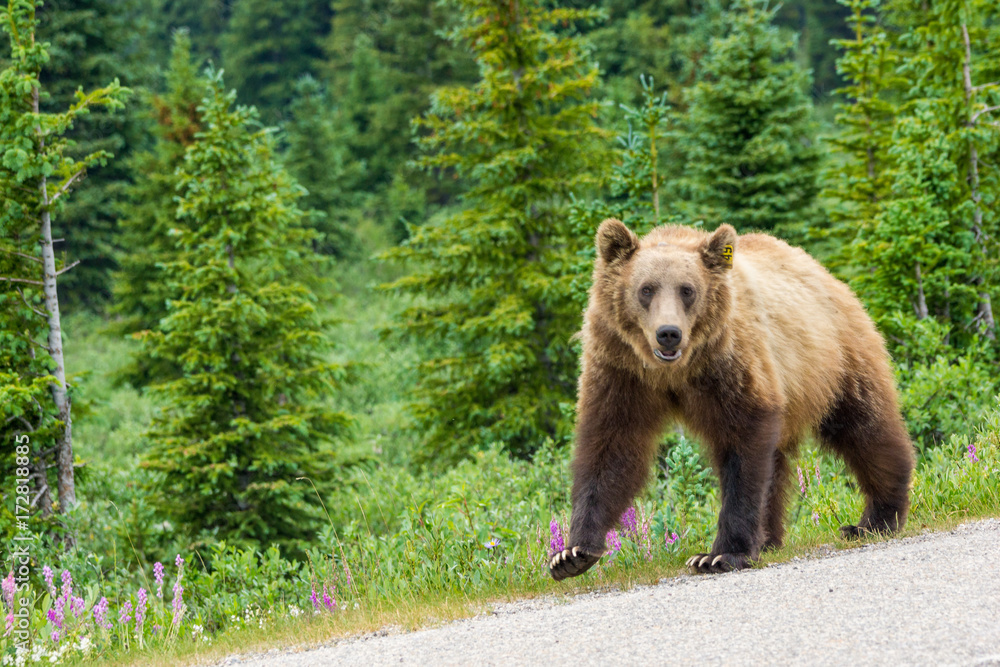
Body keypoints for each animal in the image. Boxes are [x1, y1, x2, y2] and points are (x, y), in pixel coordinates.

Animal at [552, 219, 916, 580]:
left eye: (687, 289)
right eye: (646, 289)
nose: (668, 333)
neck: (674, 371)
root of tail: (825, 273)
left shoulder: (730, 361)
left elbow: (743, 445)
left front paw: (718, 555)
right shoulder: (621, 368)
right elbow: (612, 446)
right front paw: (572, 553)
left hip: (834, 359)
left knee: (864, 427)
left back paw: (875, 519)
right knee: (780, 464)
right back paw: (769, 540)